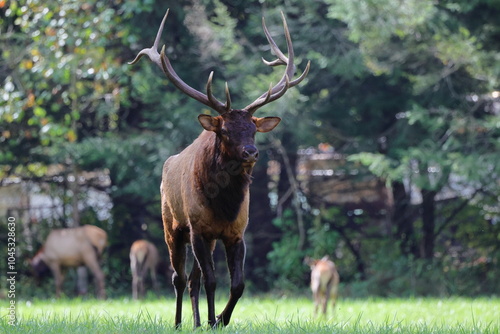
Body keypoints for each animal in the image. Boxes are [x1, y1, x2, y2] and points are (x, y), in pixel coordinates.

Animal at [129, 8, 308, 328]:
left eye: (253, 129)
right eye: (224, 131)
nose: (251, 152)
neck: (224, 205)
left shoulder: (236, 232)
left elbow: (237, 284)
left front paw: (219, 319)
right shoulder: (198, 228)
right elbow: (212, 281)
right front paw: (214, 320)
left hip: (205, 238)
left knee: (193, 280)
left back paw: (198, 322)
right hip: (172, 225)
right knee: (179, 277)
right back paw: (179, 322)